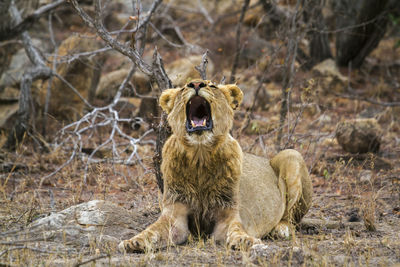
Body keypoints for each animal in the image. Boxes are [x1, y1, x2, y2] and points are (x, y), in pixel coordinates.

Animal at [119, 79, 312, 253]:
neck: (200, 156)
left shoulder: (228, 213)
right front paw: (134, 242)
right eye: (183, 87)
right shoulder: (175, 212)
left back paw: (281, 229)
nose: (196, 84)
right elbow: (153, 231)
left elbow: (236, 230)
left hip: (292, 155)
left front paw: (246, 241)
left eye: (212, 86)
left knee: (291, 217)